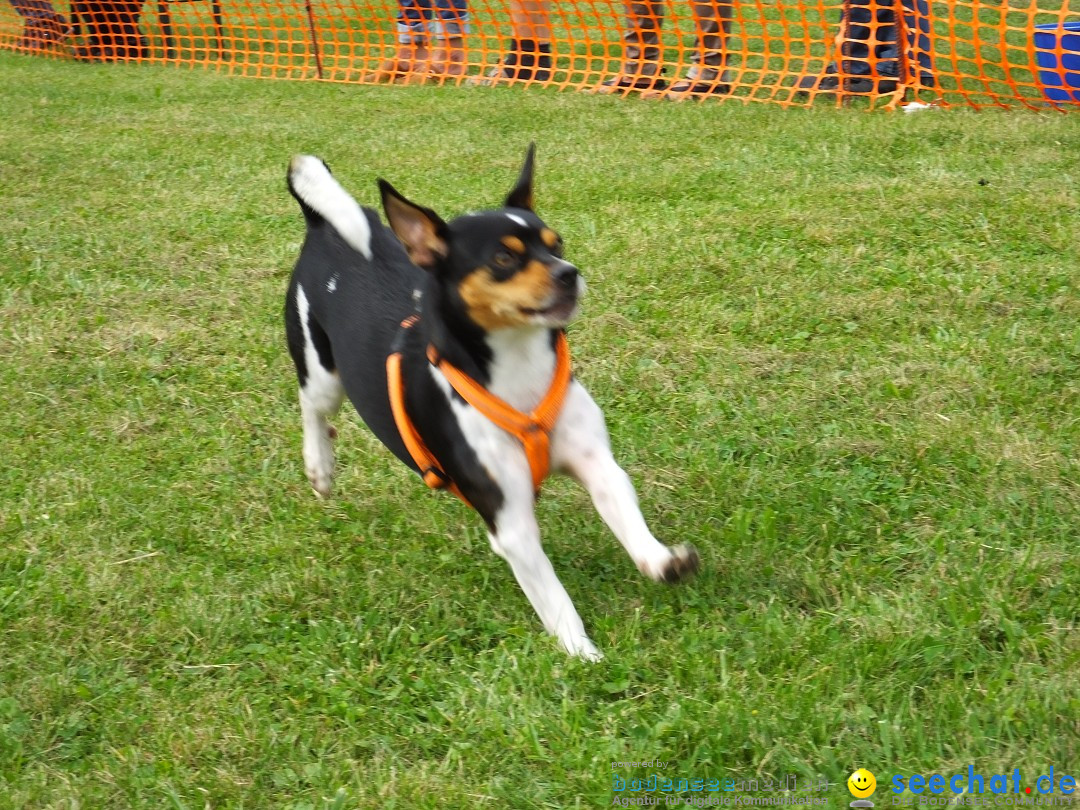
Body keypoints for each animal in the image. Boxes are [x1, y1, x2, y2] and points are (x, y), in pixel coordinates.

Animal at [282, 147, 695, 660]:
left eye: (556, 245)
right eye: (503, 258)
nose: (569, 273)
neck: (518, 368)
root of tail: (322, 228)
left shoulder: (599, 466)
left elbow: (629, 522)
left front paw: (661, 560)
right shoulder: (512, 524)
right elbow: (555, 599)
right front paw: (582, 654)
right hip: (322, 373)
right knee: (312, 409)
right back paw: (320, 464)